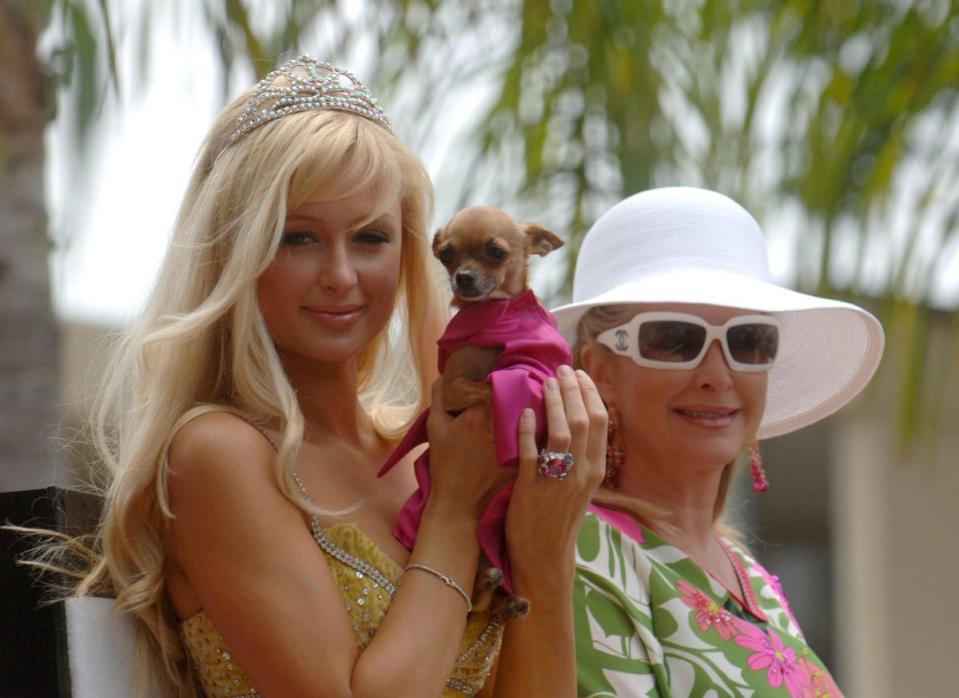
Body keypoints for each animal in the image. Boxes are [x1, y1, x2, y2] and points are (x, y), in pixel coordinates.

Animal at [380, 204, 572, 612]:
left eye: (495, 252)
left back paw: (507, 599)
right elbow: (484, 388)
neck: (496, 313)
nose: (463, 277)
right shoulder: (450, 388)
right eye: (446, 255)